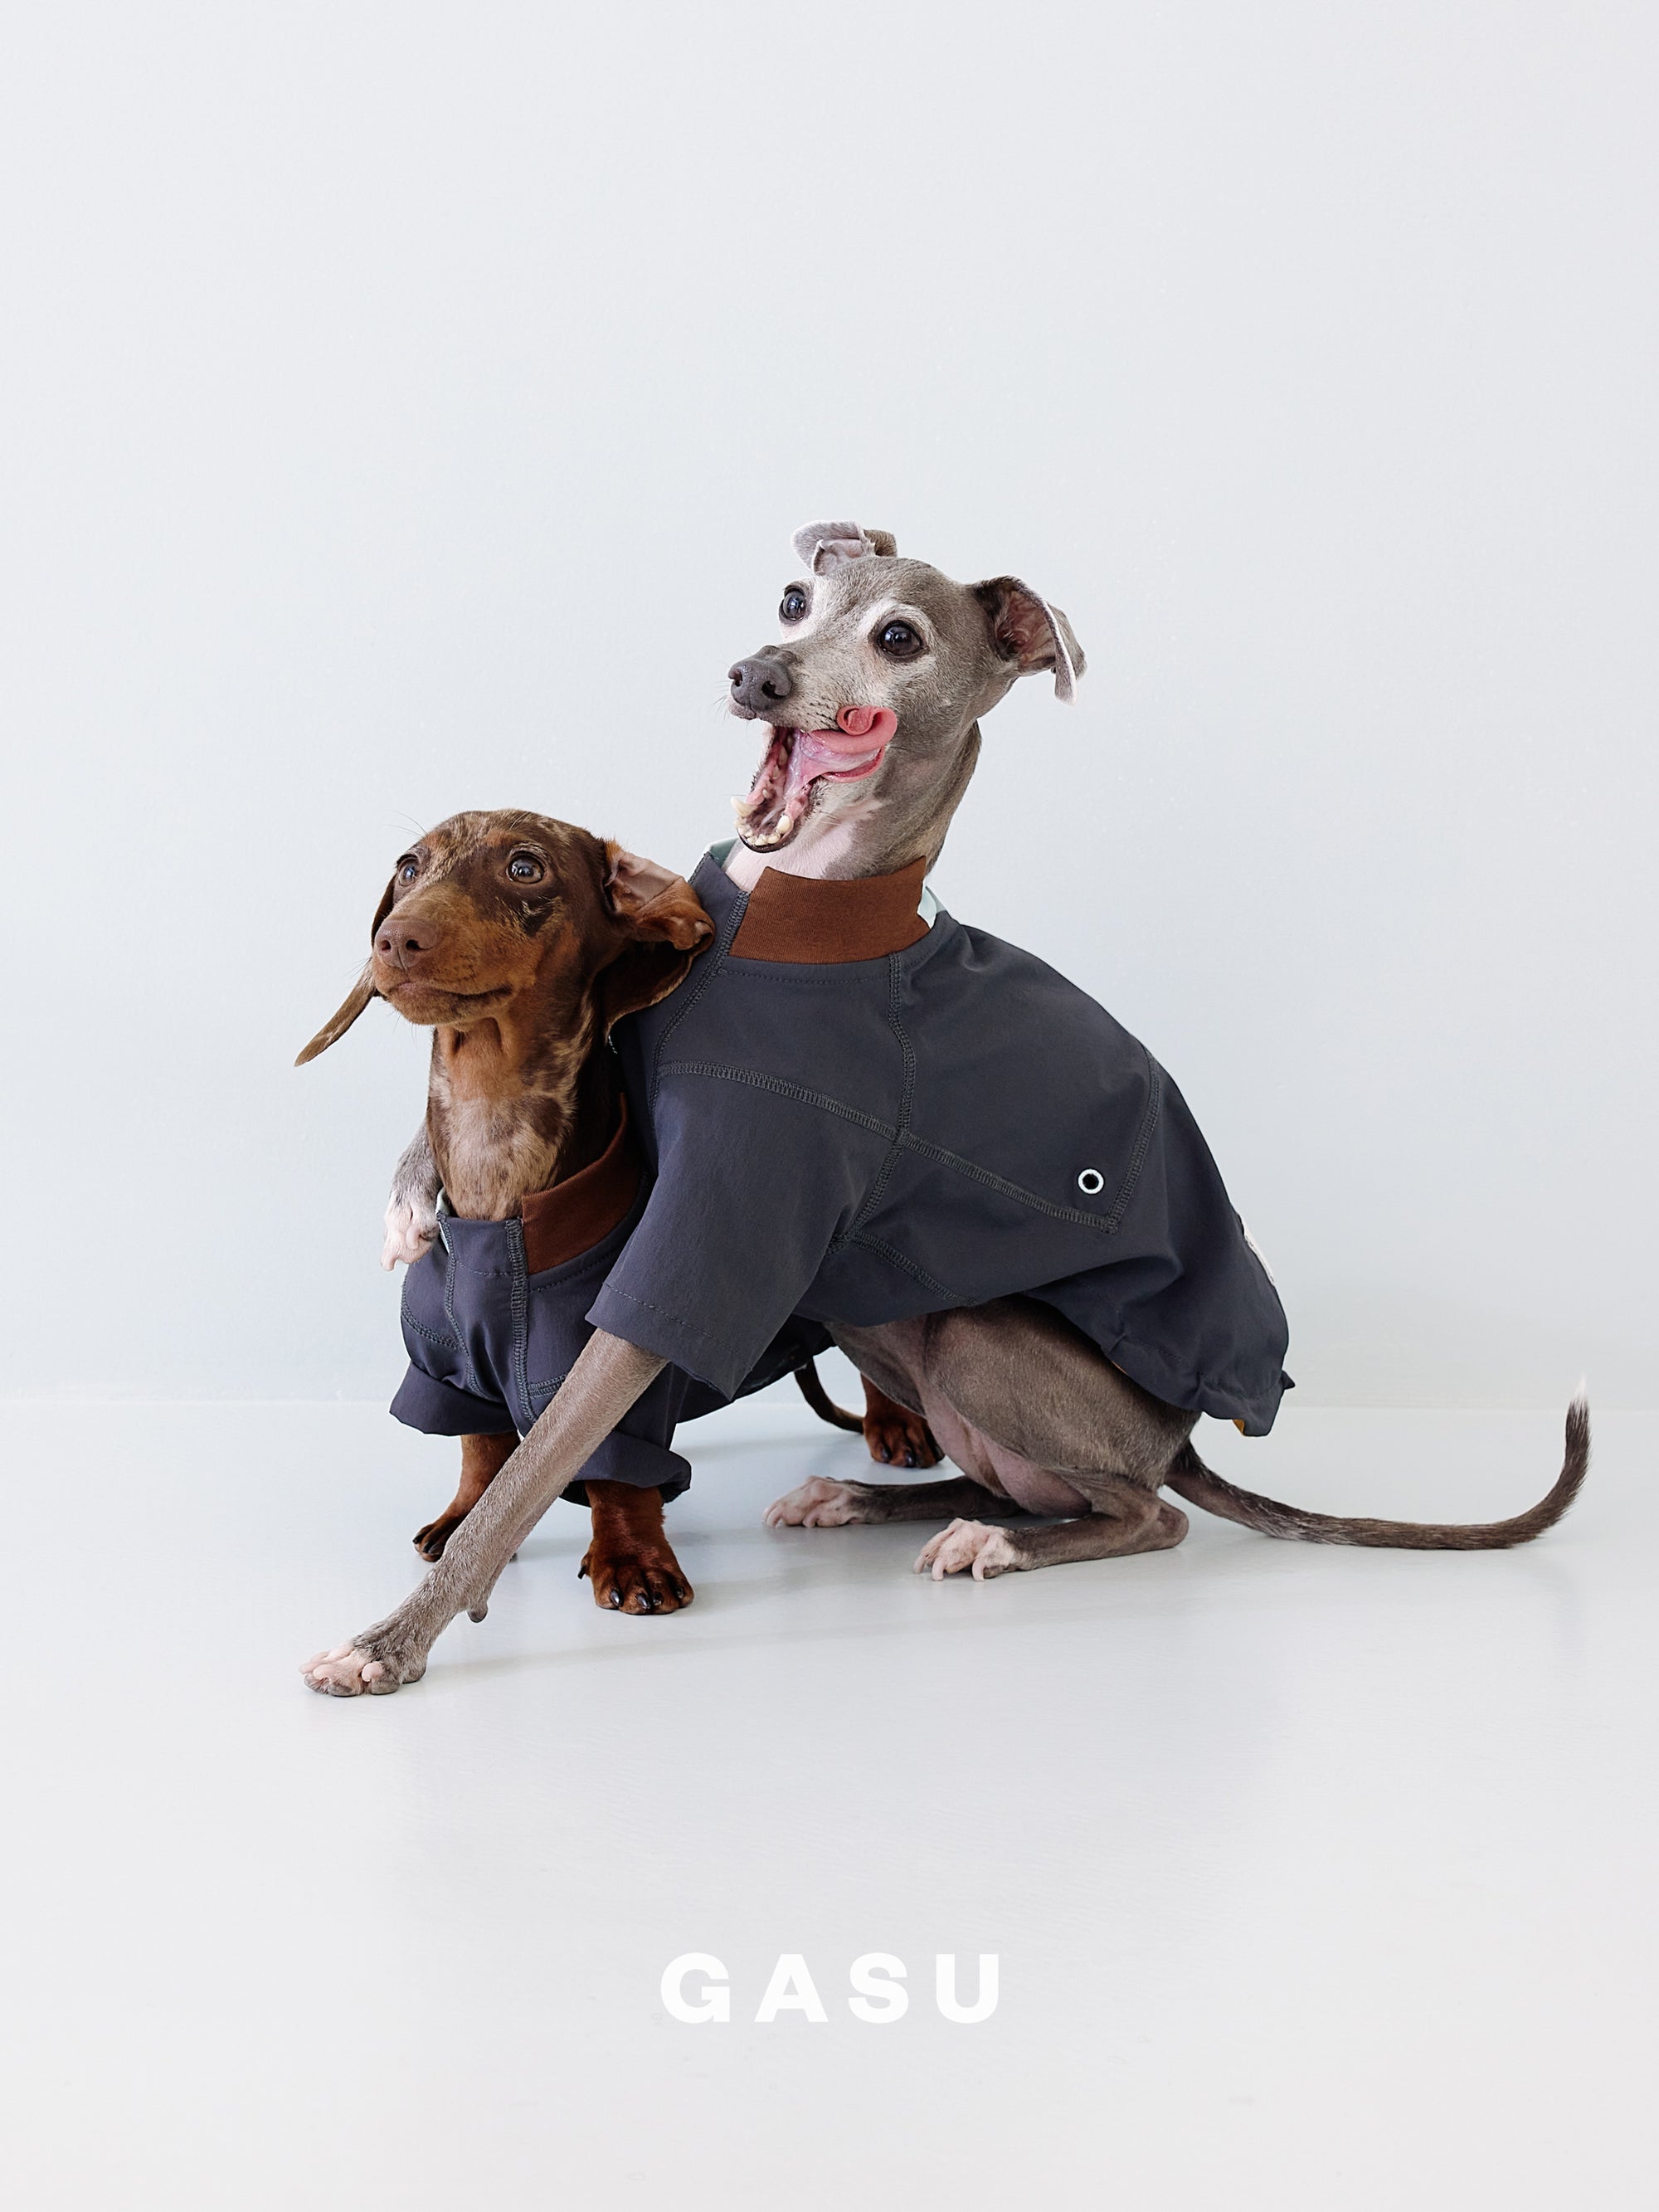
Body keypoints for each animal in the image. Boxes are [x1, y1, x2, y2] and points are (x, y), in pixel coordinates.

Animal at [302, 524, 1587, 1697]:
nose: (757, 675)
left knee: (1144, 1513)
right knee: (1002, 1469)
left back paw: (1001, 1541)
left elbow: (543, 1458)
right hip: (875, 1303)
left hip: (977, 1335)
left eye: (899, 639)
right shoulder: (637, 1056)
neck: (791, 920)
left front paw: (390, 1641)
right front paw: (412, 1200)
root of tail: (1181, 1436)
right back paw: (868, 1495)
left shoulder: (713, 1229)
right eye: (795, 597)